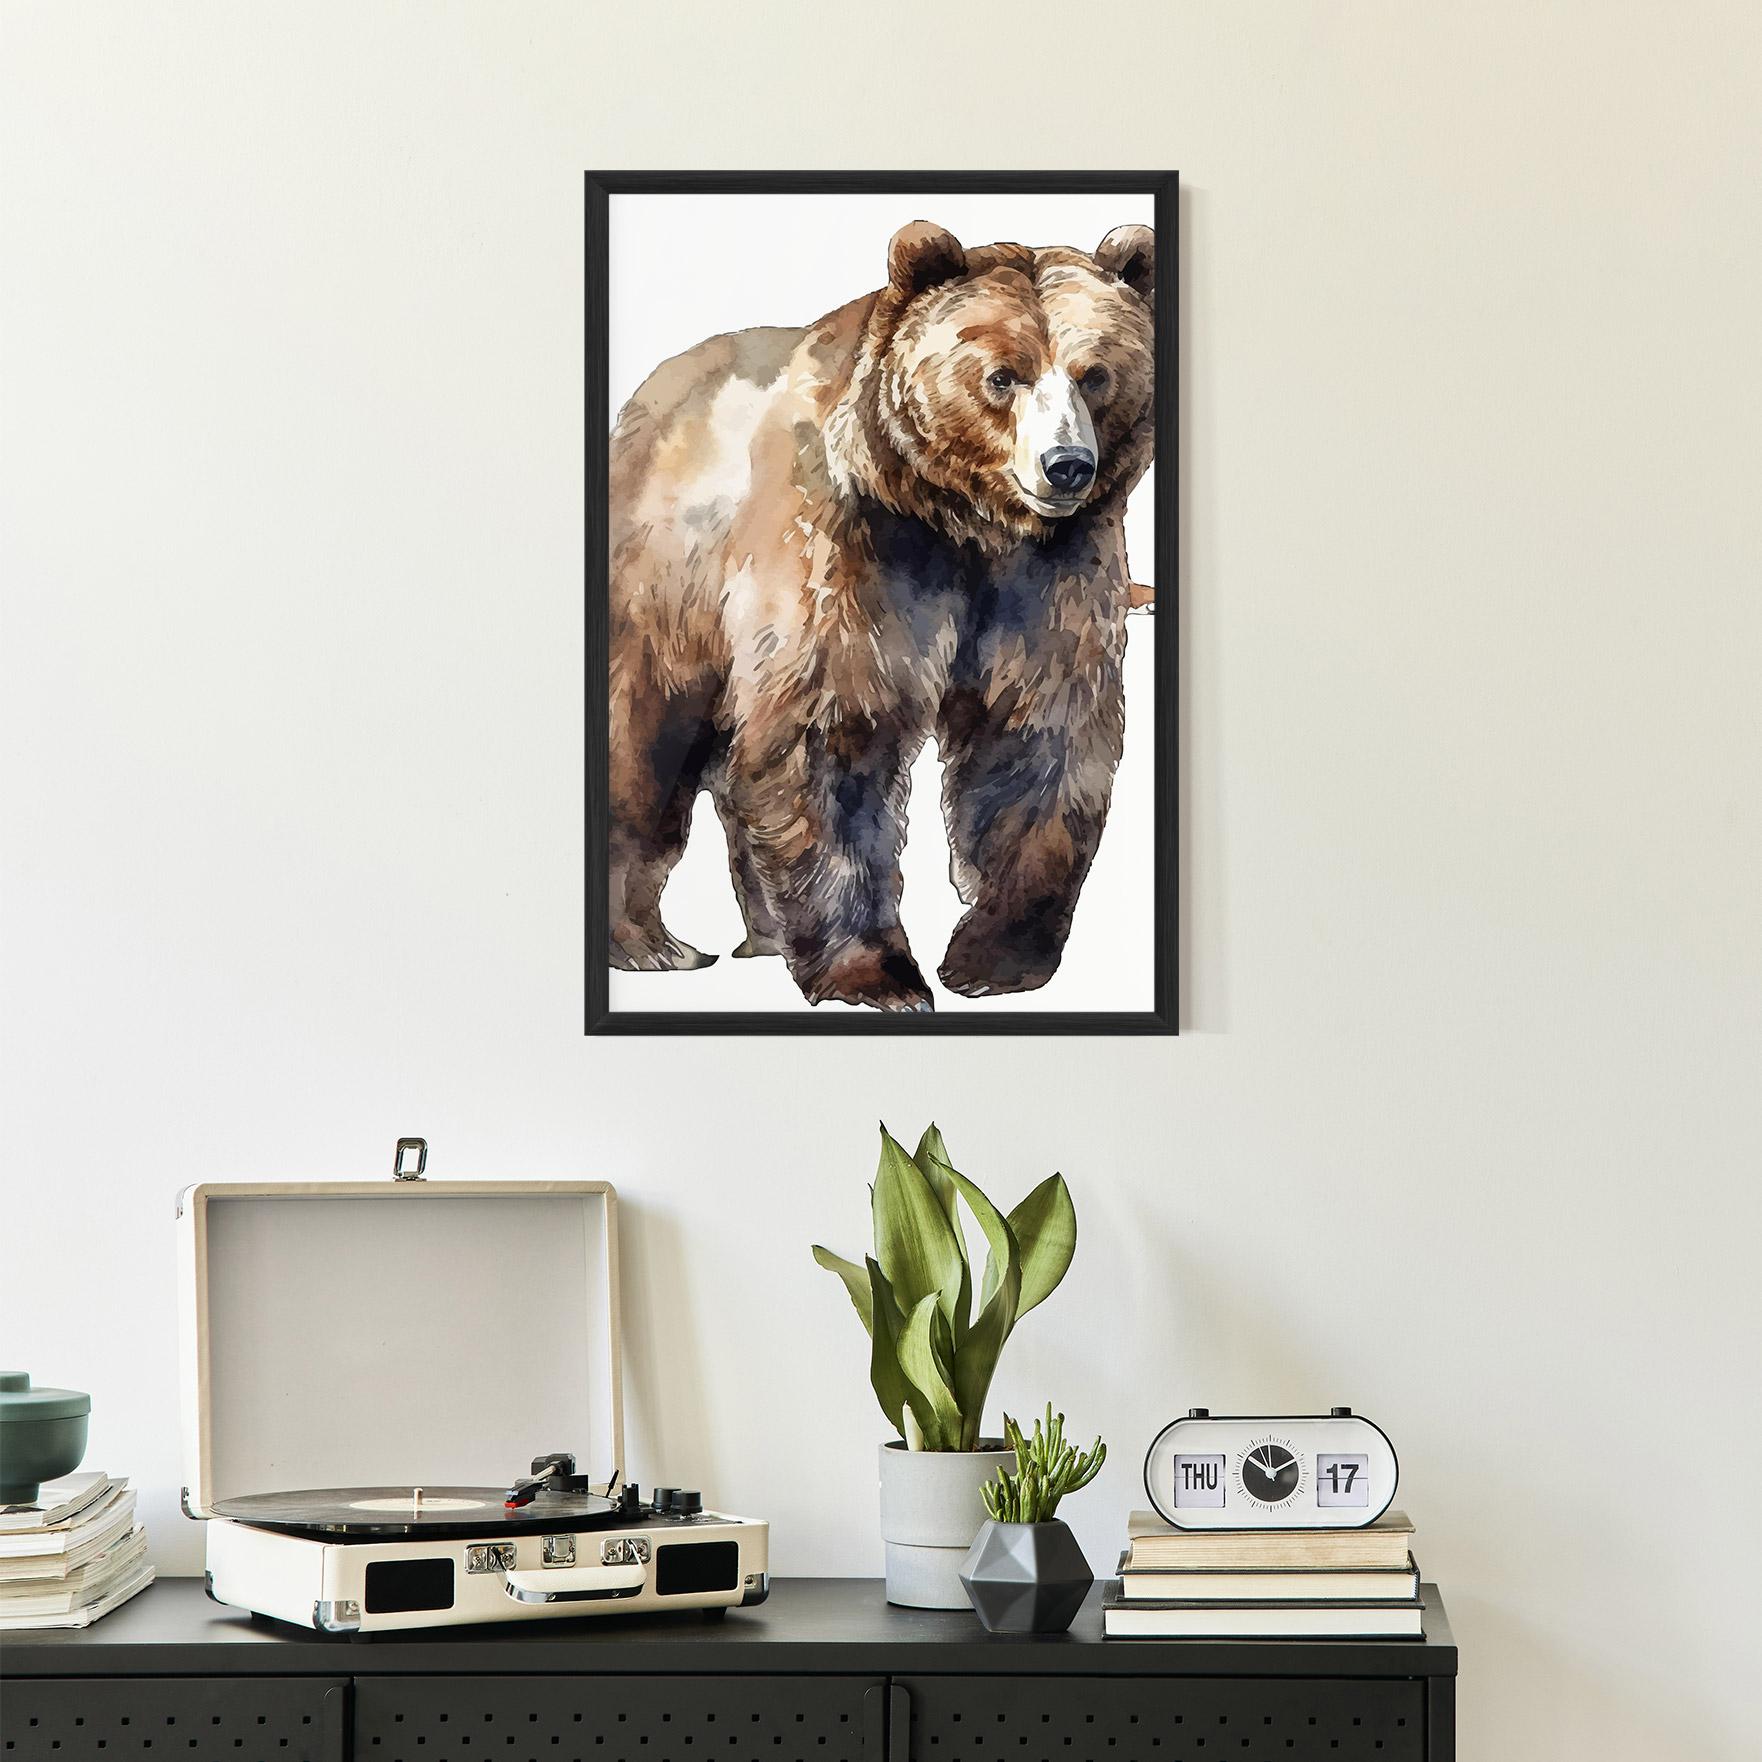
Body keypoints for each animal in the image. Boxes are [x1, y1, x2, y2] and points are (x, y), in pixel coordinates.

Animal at [606, 219, 1155, 1012]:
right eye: (1004, 375)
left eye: (1095, 374)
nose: (1067, 466)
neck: (966, 523)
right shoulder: (853, 550)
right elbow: (834, 736)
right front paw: (878, 976)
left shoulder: (1050, 578)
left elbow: (1036, 736)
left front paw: (994, 958)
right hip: (667, 588)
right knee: (646, 739)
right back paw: (650, 944)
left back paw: (764, 935)